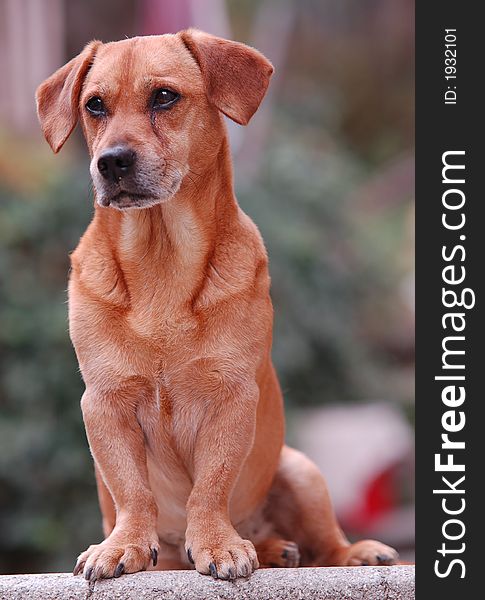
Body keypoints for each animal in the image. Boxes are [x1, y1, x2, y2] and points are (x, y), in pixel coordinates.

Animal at [35, 30, 398, 580]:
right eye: (94, 105)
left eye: (164, 96)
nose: (111, 161)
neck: (161, 259)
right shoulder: (104, 402)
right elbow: (131, 489)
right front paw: (124, 545)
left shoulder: (231, 397)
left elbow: (211, 484)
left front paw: (215, 543)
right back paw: (268, 549)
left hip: (302, 471)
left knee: (323, 542)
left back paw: (339, 551)